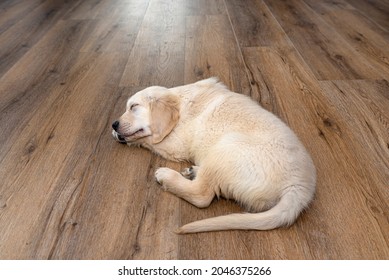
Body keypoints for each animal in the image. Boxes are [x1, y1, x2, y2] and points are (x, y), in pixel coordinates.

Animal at [110, 77, 316, 233]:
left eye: (134, 107)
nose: (114, 124)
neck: (182, 103)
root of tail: (299, 187)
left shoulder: (175, 144)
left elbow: (147, 140)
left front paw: (124, 137)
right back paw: (192, 171)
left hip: (226, 147)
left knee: (202, 195)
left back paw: (167, 176)